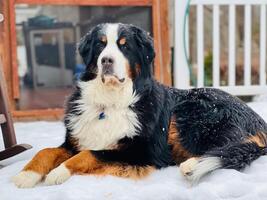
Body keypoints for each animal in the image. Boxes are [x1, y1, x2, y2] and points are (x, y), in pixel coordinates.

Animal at [12, 23, 267, 188]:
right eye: (100, 45)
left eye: (124, 46)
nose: (106, 60)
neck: (110, 101)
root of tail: (256, 118)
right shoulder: (75, 140)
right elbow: (47, 151)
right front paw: (25, 176)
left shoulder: (140, 151)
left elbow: (89, 154)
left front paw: (58, 173)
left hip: (196, 117)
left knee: (230, 148)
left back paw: (192, 165)